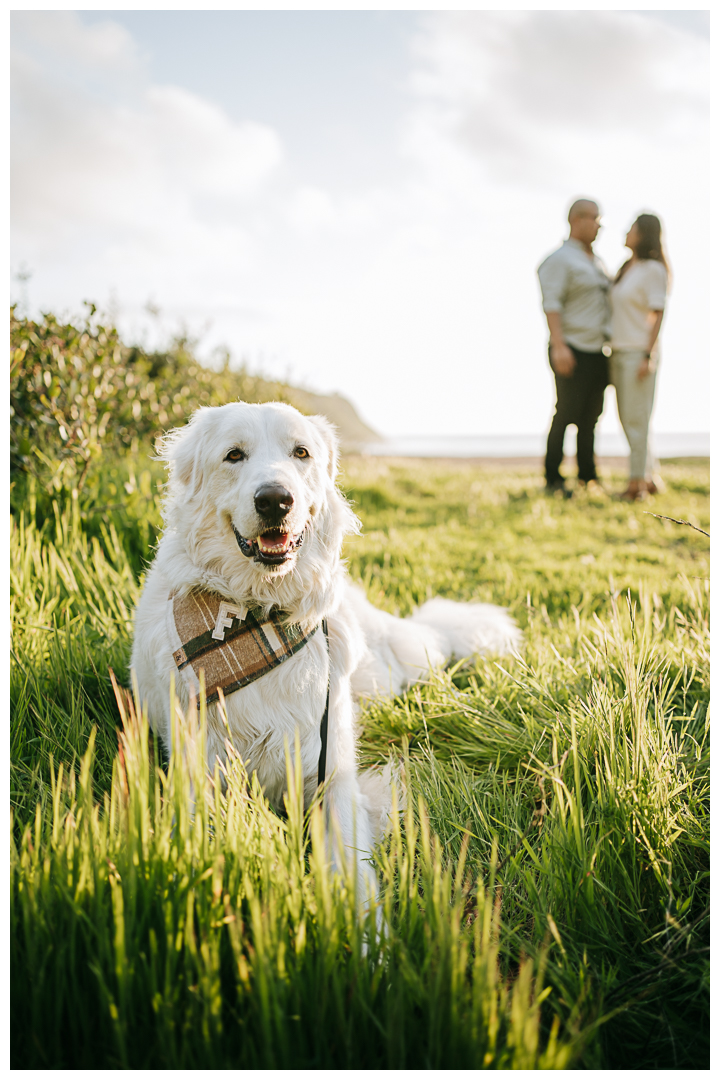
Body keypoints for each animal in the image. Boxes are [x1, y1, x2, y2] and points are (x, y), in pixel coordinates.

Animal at [129, 401, 520, 898]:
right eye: (234, 455)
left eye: (301, 453)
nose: (275, 500)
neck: (260, 614)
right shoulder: (201, 775)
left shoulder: (330, 775)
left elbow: (356, 878)